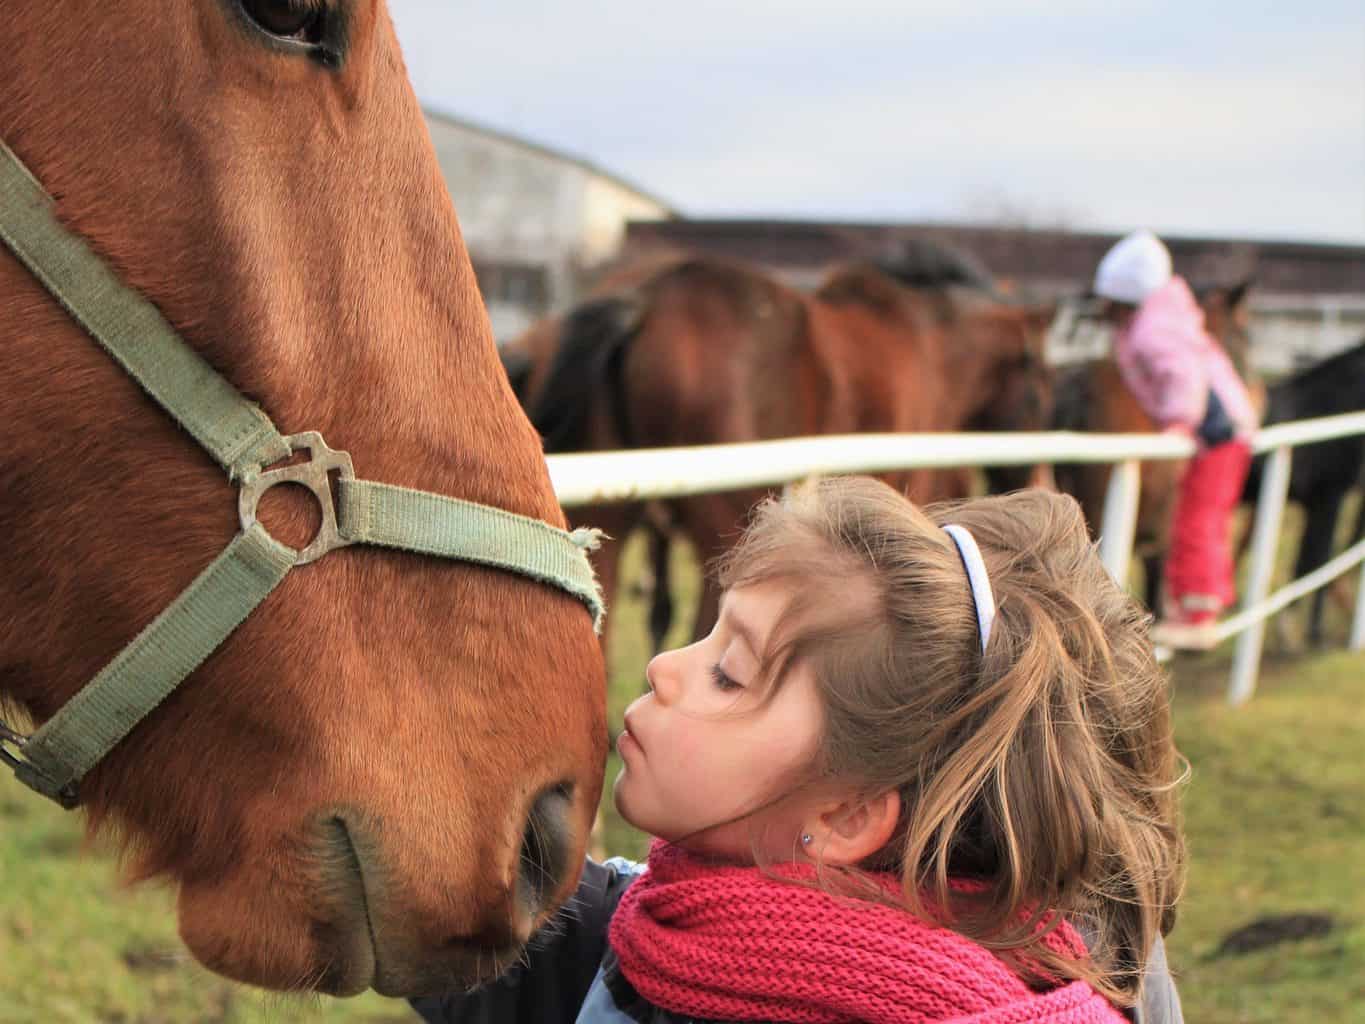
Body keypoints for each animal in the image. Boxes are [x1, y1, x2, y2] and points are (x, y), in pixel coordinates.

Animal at [513, 247, 1053, 658]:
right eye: (1039, 393)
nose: (1036, 483)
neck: (930, 344)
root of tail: (644, 299)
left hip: (616, 523)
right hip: (724, 529)